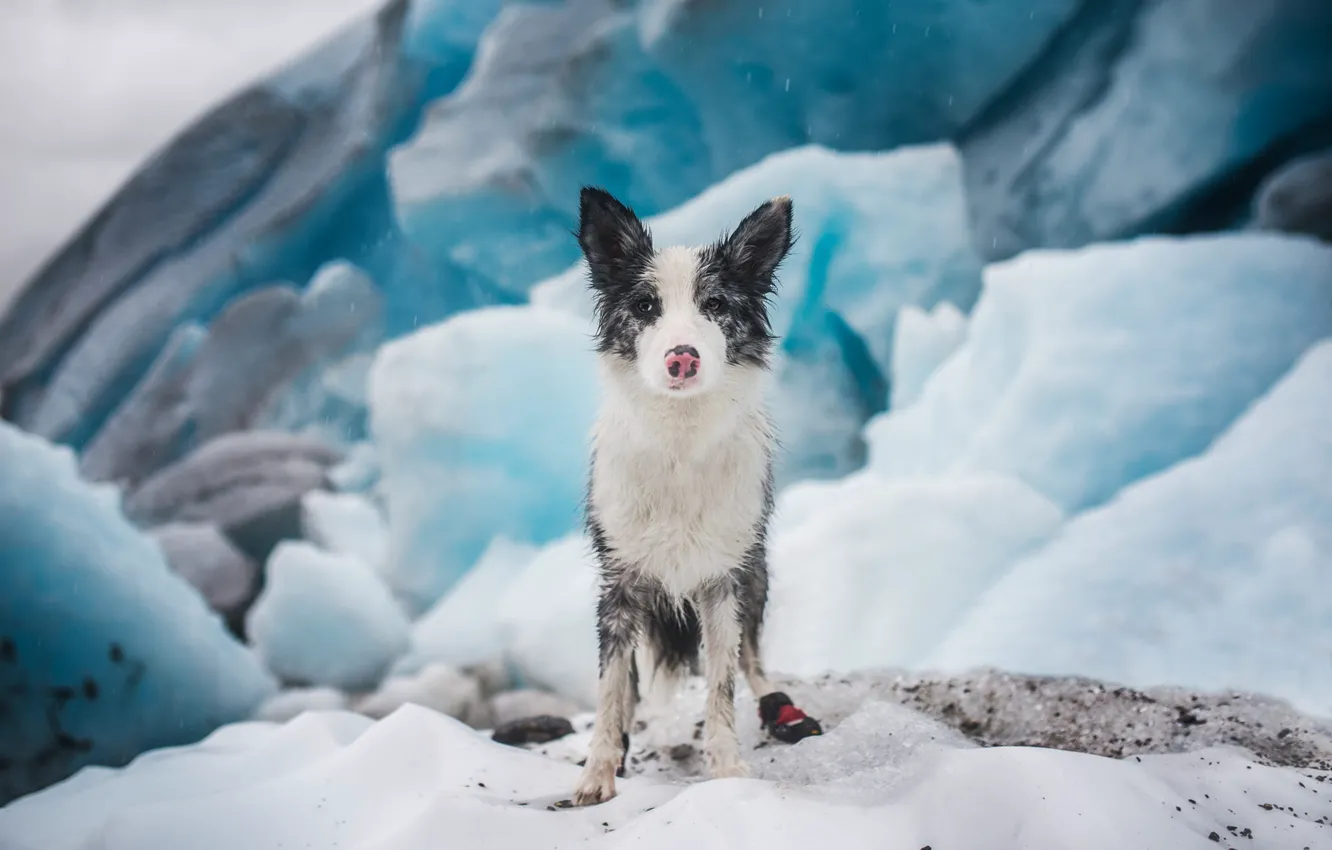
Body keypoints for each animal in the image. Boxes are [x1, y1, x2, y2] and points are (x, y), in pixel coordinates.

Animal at [572, 187, 820, 810]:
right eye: (645, 307)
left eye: (715, 305)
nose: (681, 356)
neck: (679, 439)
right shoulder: (619, 583)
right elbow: (613, 687)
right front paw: (599, 772)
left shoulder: (723, 581)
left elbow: (722, 683)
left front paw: (728, 770)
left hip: (757, 573)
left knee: (754, 658)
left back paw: (782, 708)